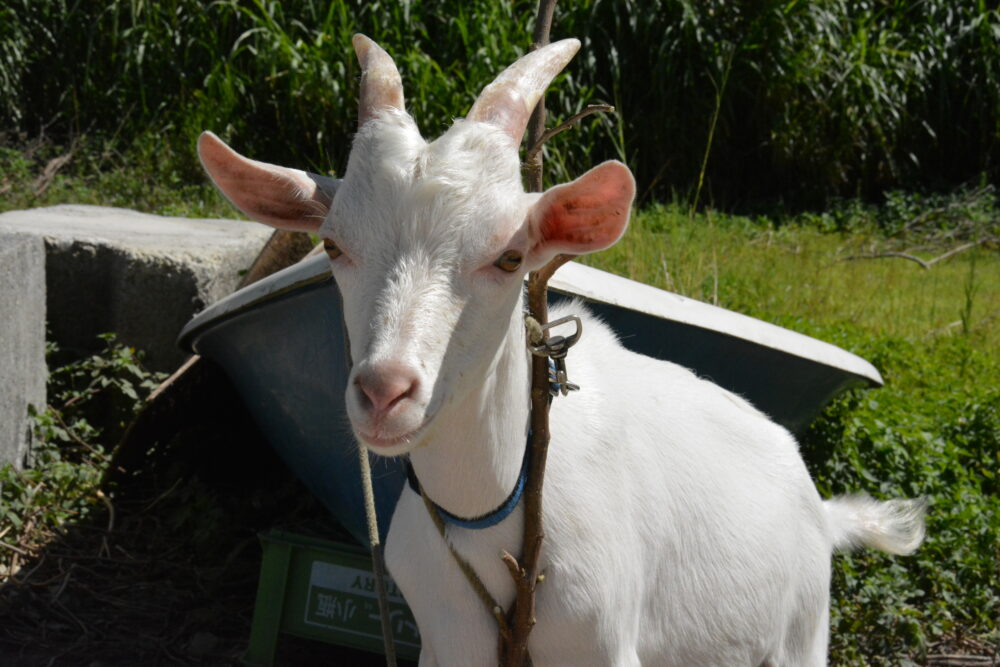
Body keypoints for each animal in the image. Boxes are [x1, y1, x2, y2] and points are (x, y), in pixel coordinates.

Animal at [199, 36, 924, 667]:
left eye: (508, 256)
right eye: (333, 245)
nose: (385, 392)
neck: (496, 515)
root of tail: (821, 507)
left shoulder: (601, 642)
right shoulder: (448, 643)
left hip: (803, 629)